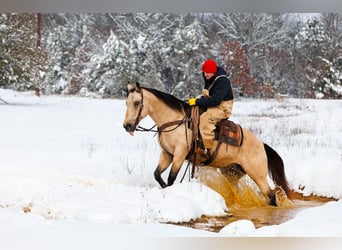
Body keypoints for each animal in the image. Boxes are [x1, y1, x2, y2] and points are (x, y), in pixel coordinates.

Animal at [123, 82, 292, 205]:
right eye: (126, 103)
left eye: (137, 102)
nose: (127, 126)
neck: (173, 120)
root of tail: (261, 145)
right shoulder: (167, 154)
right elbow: (157, 174)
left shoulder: (179, 154)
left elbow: (171, 178)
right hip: (232, 173)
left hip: (258, 174)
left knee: (271, 196)